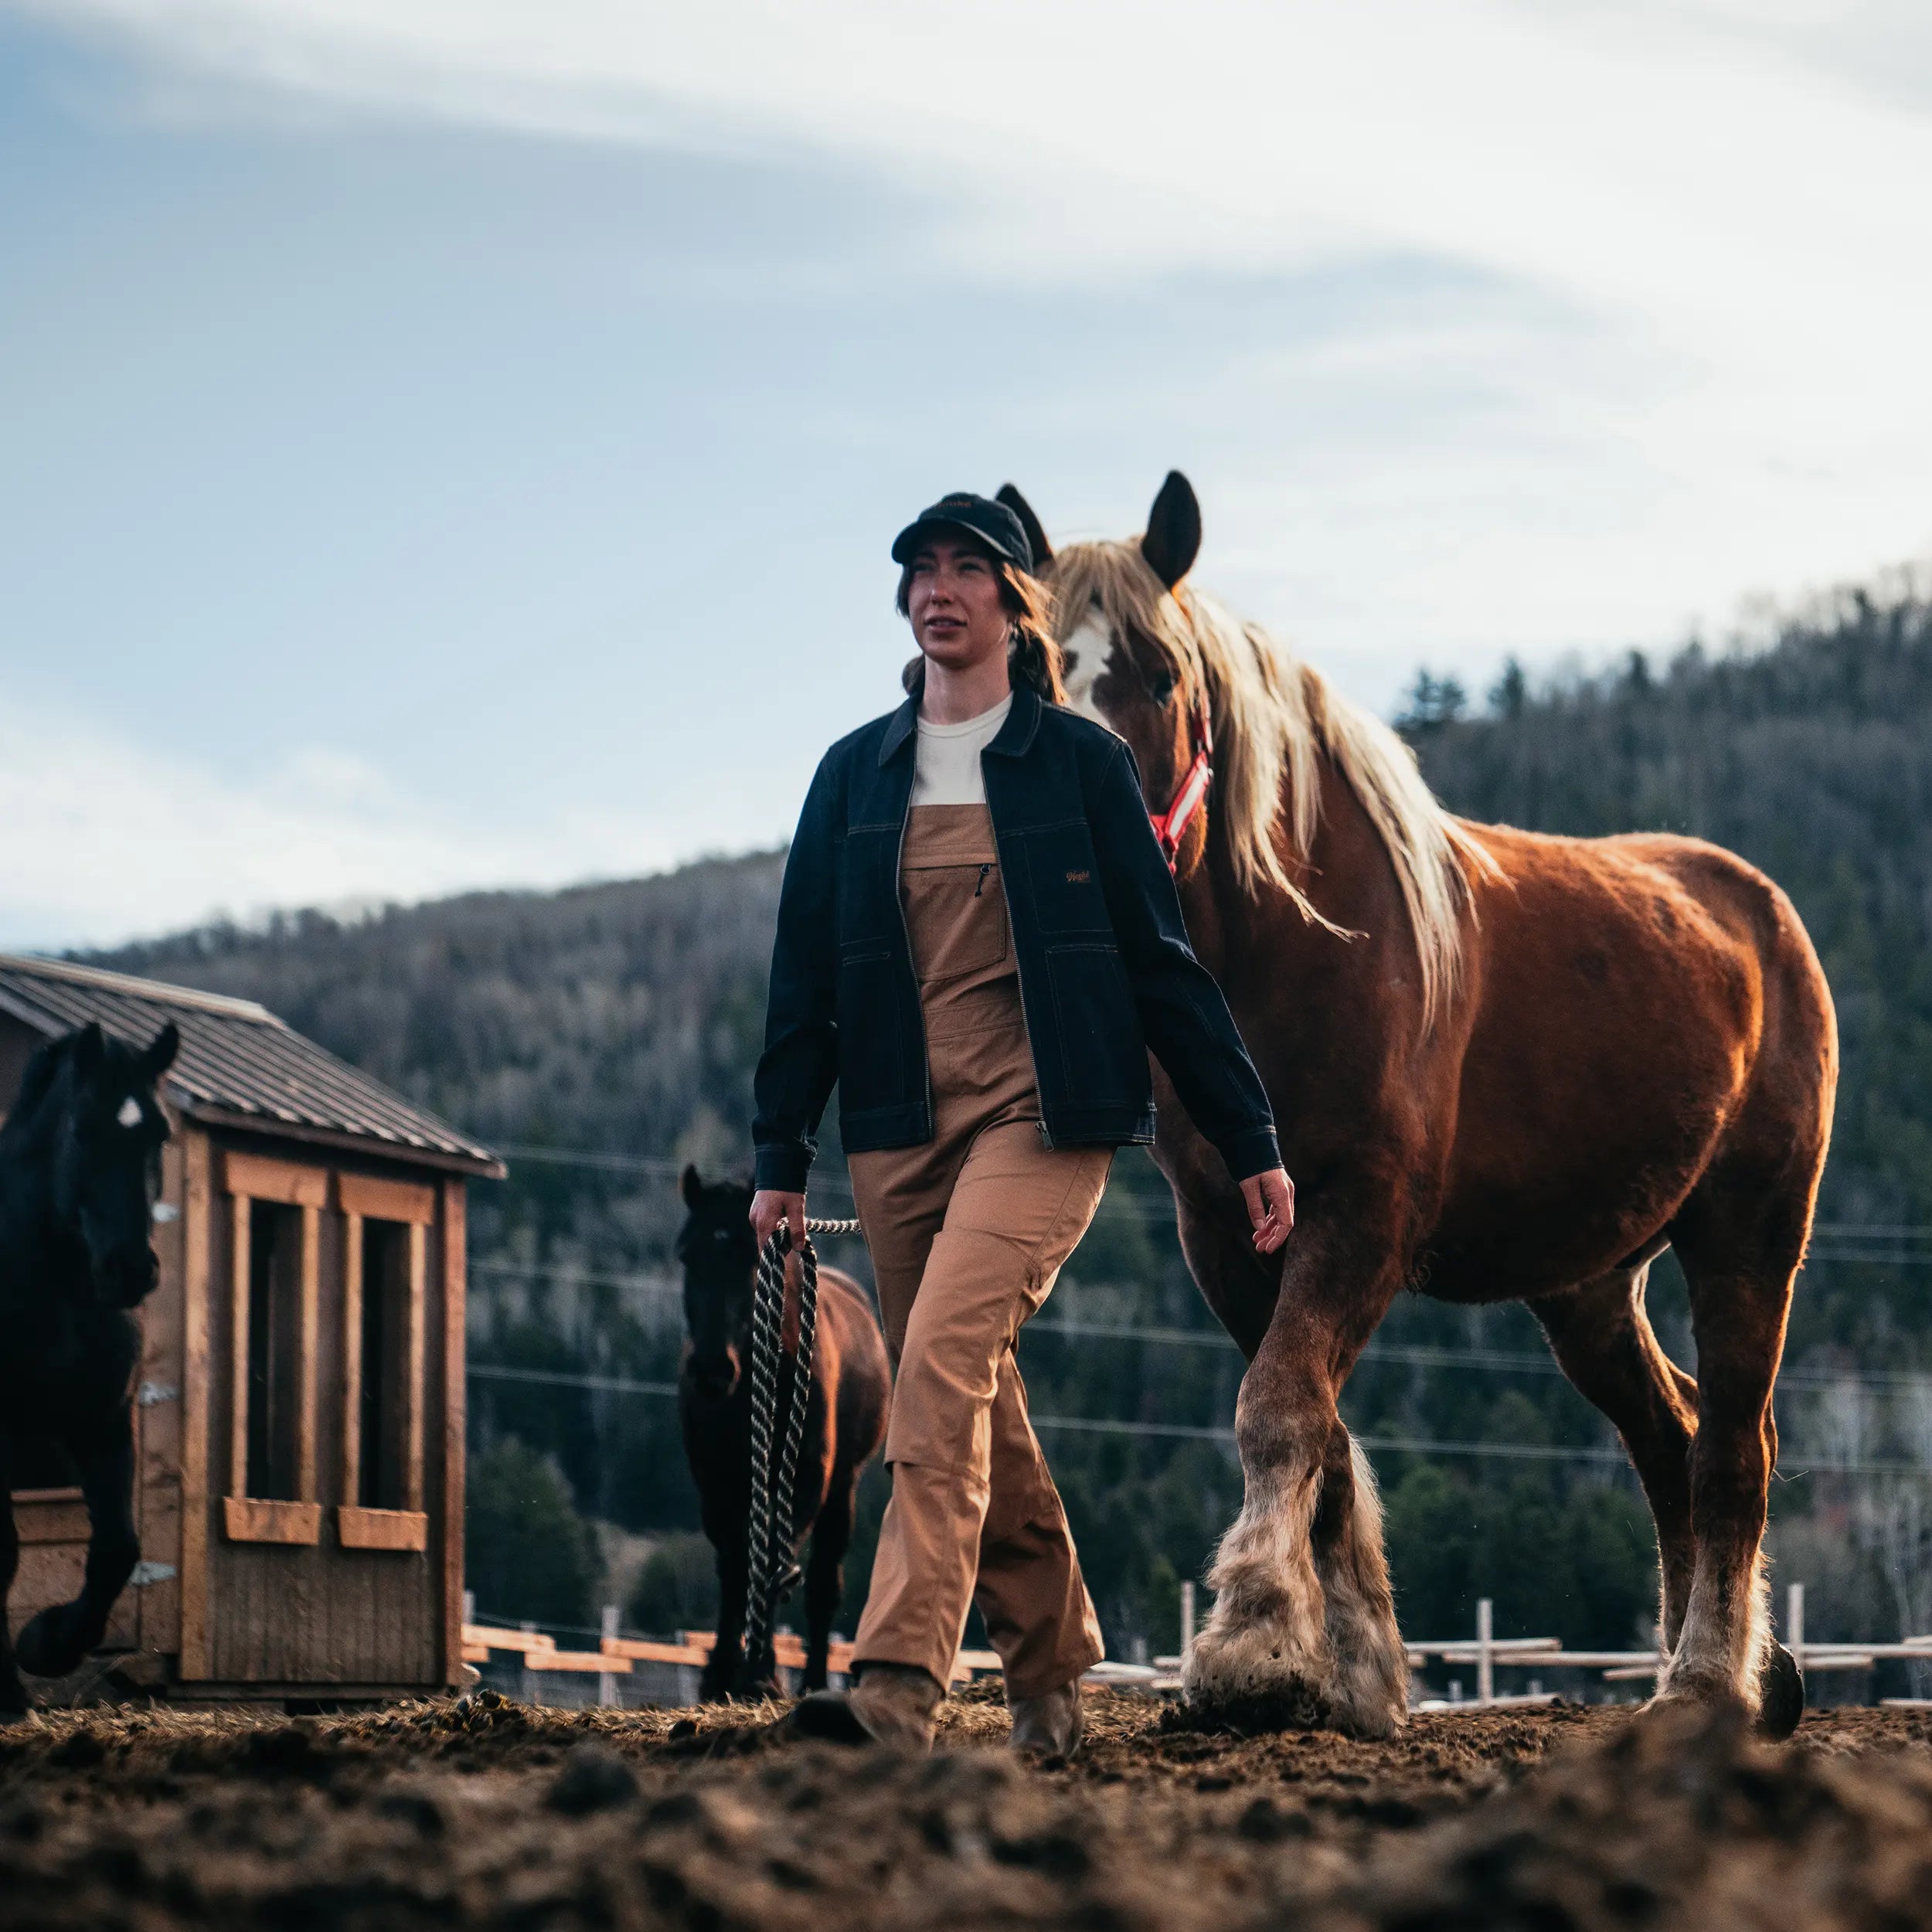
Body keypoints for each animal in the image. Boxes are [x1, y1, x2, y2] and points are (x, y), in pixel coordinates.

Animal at [2, 1020, 179, 1716]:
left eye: (160, 1134)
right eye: (81, 1130)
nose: (128, 1268)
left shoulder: (102, 1423)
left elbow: (117, 1550)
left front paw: (47, 1643)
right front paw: (12, 1681)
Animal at [680, 1167, 889, 1700]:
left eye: (753, 1260)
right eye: (687, 1255)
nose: (712, 1370)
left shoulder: (809, 1476)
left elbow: (777, 1560)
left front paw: (762, 1671)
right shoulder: (714, 1481)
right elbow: (735, 1563)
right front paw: (721, 1671)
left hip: (841, 1486)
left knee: (822, 1583)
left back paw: (812, 1681)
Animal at [1005, 475, 1832, 1747]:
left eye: (1162, 673)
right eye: (1040, 672)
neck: (1286, 959)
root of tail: (1764, 915)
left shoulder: (1364, 1217)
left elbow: (1281, 1409)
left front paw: (1251, 1651)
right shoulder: (1228, 1240)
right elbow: (1321, 1432)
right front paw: (1349, 1671)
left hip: (1748, 1235)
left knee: (1732, 1448)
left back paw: (1704, 1686)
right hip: (1590, 1290)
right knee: (1670, 1440)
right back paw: (1752, 1671)